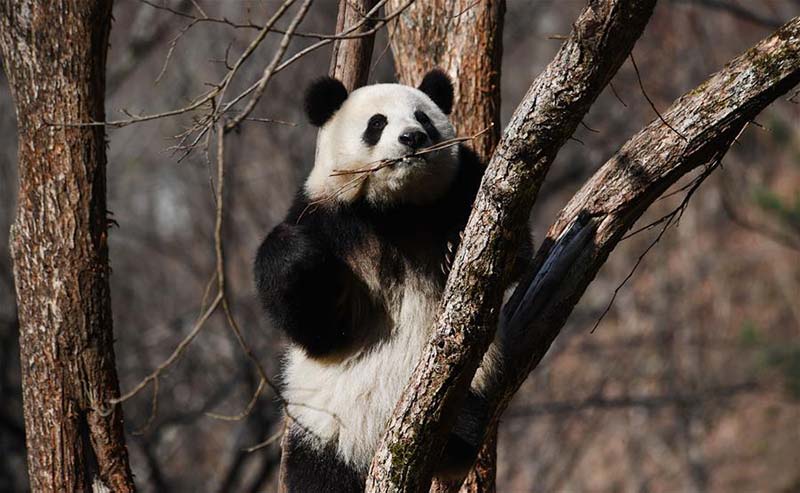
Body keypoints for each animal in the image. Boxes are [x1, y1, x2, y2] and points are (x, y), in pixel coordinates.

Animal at [256, 69, 532, 492]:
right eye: (377, 123)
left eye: (423, 119)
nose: (412, 138)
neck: (395, 210)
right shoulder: (330, 220)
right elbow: (317, 329)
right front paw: (297, 255)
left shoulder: (464, 184)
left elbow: (514, 251)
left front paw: (455, 246)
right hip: (322, 432)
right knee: (317, 473)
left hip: (471, 387)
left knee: (467, 417)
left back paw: (453, 441)